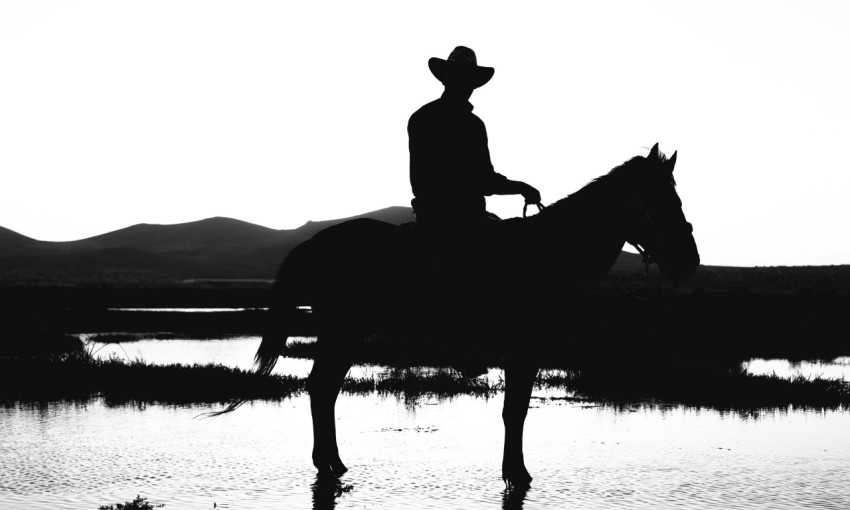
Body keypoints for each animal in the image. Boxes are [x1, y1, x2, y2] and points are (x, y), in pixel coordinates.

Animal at [212, 142, 696, 486]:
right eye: (662, 201)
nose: (690, 260)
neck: (550, 253)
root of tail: (314, 243)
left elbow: (515, 411)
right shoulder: (524, 350)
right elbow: (515, 412)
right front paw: (516, 473)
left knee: (323, 389)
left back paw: (332, 463)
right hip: (343, 331)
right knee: (321, 388)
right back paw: (329, 464)